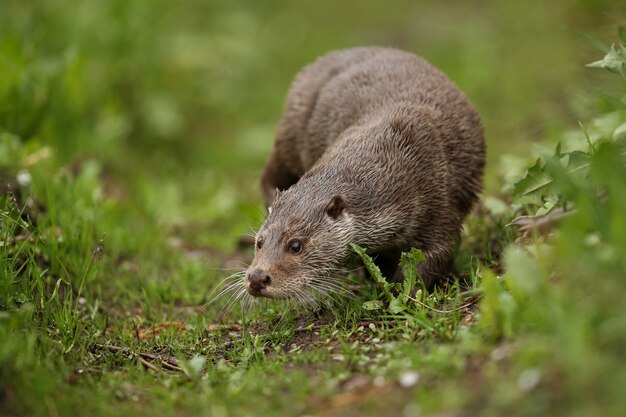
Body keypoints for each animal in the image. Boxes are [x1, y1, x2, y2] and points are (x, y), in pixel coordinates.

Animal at [244, 46, 482, 300]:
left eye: (295, 245)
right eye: (260, 242)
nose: (257, 277)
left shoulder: (440, 204)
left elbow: (434, 257)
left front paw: (398, 292)